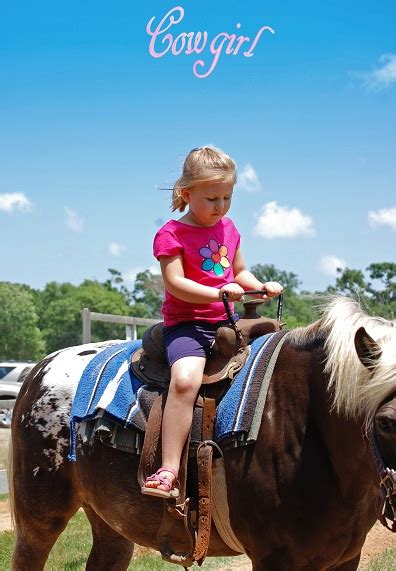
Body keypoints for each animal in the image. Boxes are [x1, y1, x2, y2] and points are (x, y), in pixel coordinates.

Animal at [7, 298, 396, 568]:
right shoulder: (275, 558)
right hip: (40, 520)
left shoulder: (346, 558)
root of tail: (39, 368)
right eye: (386, 422)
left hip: (110, 520)